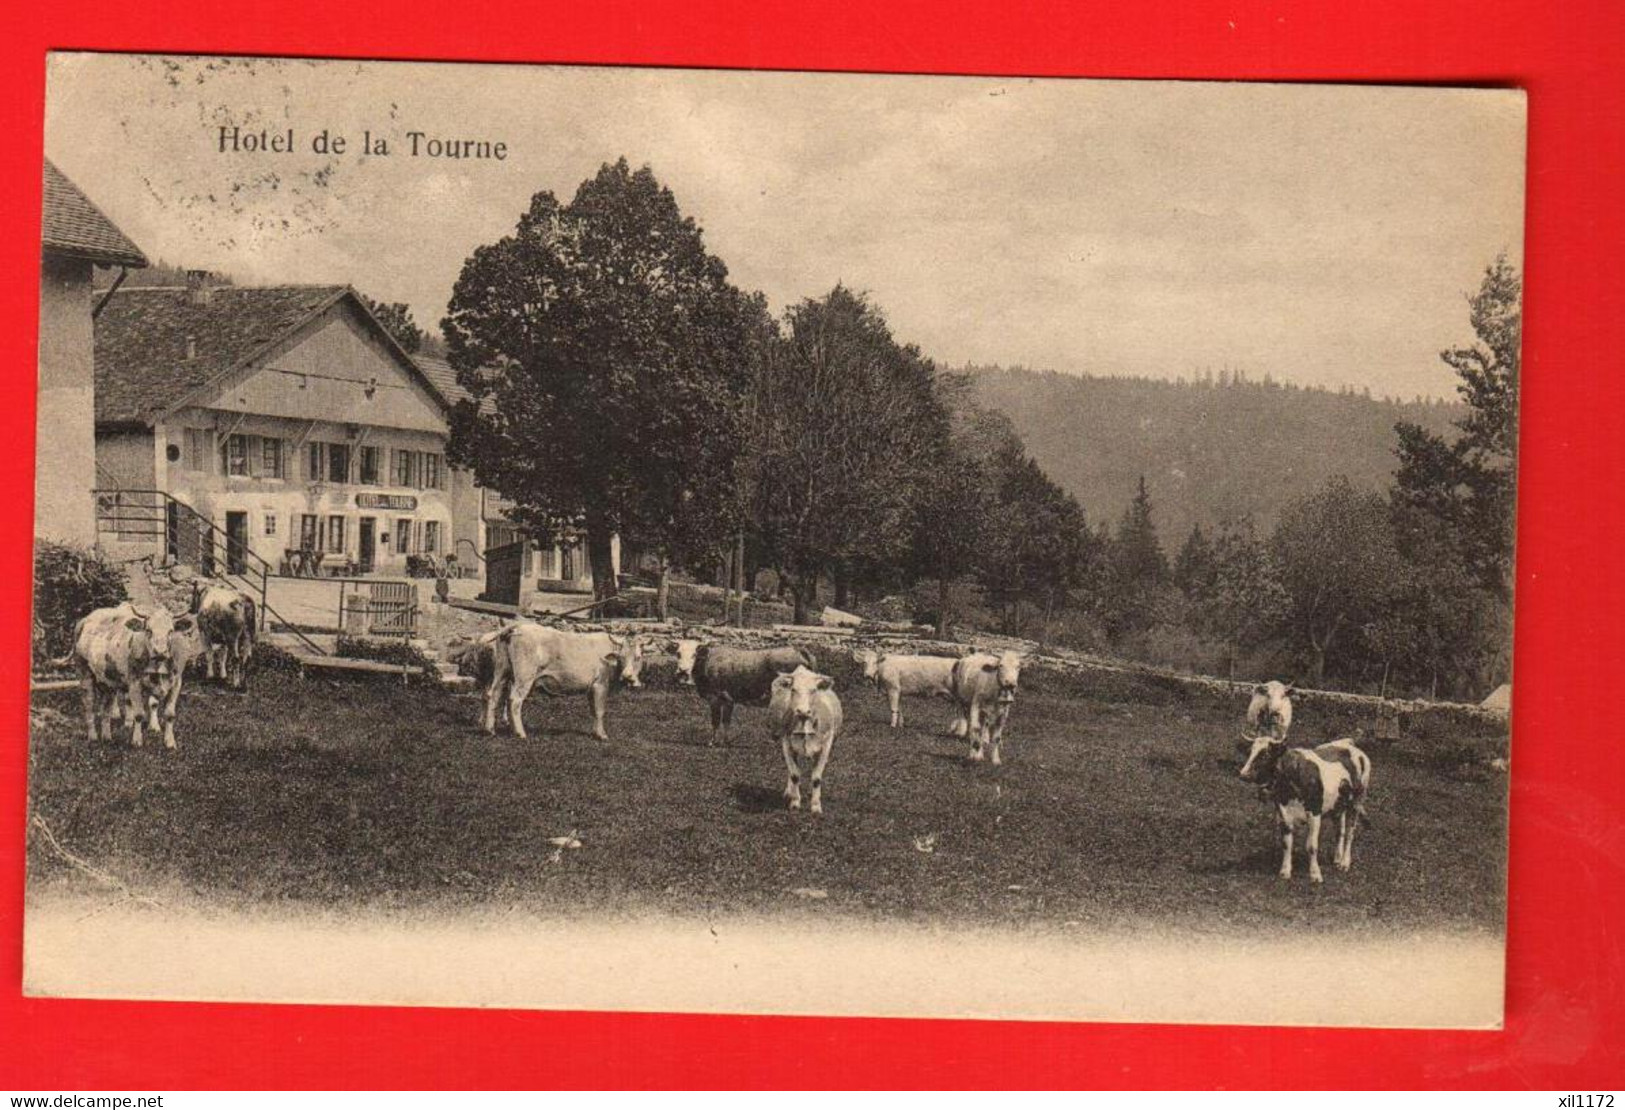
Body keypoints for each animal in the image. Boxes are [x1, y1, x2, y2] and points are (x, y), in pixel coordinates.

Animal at [477, 620, 643, 741]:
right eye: (621, 657)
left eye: (638, 657)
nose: (628, 676)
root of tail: (517, 625)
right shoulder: (600, 684)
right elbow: (600, 710)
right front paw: (602, 735)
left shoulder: (591, 687)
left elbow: (593, 710)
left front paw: (595, 732)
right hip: (524, 676)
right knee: (514, 700)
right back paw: (520, 733)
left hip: (502, 670)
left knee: (493, 695)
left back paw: (490, 730)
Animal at [770, 663, 845, 812]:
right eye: (793, 689)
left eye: (813, 690)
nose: (803, 711)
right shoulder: (786, 744)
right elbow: (794, 774)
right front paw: (795, 802)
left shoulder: (826, 746)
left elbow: (816, 778)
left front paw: (816, 806)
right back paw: (789, 792)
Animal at [1241, 737, 1371, 884]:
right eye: (1250, 752)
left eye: (1265, 755)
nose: (1243, 774)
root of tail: (1348, 743)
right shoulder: (1284, 813)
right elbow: (1286, 844)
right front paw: (1285, 871)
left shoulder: (1314, 813)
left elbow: (1312, 846)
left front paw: (1315, 874)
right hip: (1338, 805)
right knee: (1340, 831)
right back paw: (1337, 859)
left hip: (1357, 800)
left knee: (1350, 832)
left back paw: (1345, 863)